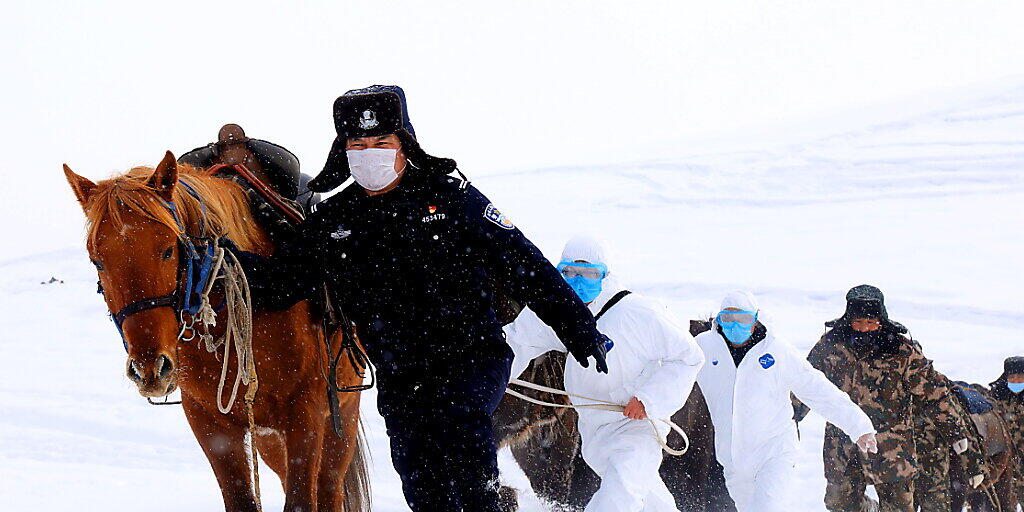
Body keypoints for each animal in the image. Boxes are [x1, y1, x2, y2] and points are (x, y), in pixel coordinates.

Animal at [64, 151, 370, 512]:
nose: (149, 368)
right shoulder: (210, 423)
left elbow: (300, 500)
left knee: (328, 489)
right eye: (98, 260)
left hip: (340, 418)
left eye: (168, 250)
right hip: (268, 438)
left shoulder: (305, 413)